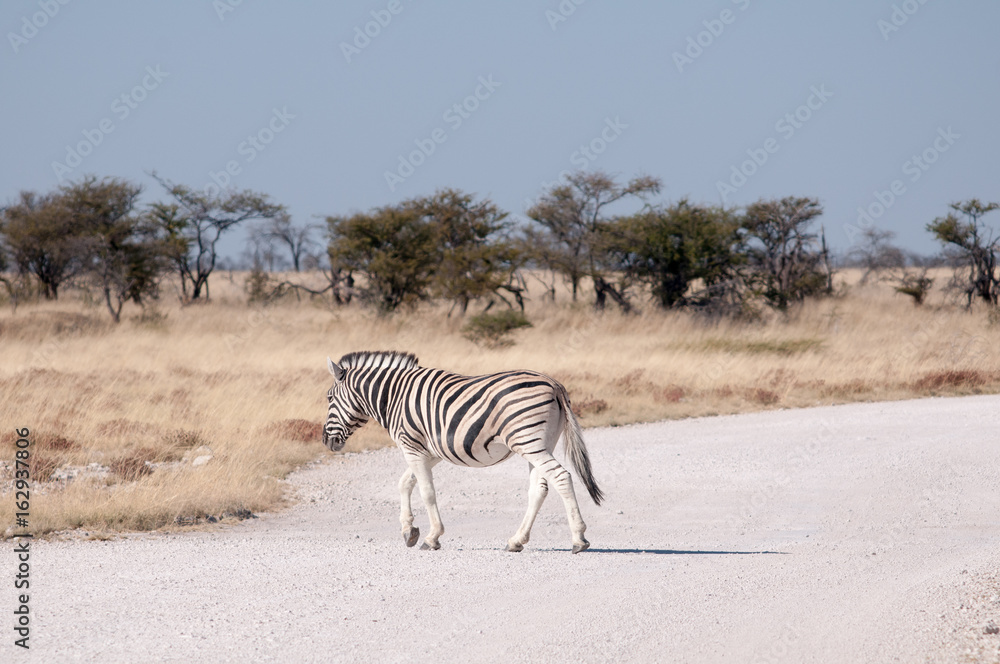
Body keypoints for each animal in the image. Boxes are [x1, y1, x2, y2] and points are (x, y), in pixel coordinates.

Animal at [322, 350, 603, 553]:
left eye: (328, 398)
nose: (326, 441)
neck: (394, 396)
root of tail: (554, 383)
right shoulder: (430, 451)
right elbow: (405, 483)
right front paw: (408, 530)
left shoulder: (411, 445)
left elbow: (426, 491)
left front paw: (432, 537)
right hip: (539, 444)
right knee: (539, 489)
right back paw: (516, 541)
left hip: (529, 442)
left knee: (561, 477)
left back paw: (579, 539)